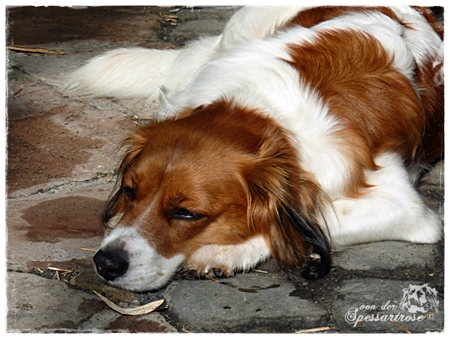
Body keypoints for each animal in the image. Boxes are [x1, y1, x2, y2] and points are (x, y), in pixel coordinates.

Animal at [67, 5, 442, 292]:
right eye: (130, 191)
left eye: (187, 213)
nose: (106, 262)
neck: (262, 113)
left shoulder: (406, 208)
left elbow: (299, 225)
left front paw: (225, 250)